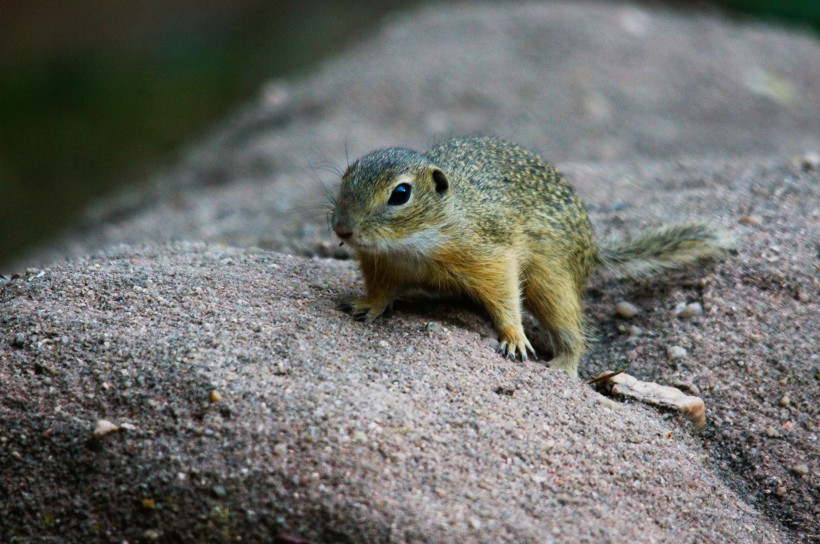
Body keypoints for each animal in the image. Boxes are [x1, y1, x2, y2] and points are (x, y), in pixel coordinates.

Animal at [330, 136, 728, 376]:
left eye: (400, 193)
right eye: (346, 176)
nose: (342, 229)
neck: (412, 245)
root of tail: (592, 250)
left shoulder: (491, 255)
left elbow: (505, 295)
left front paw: (514, 337)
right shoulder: (381, 265)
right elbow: (381, 292)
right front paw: (367, 304)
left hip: (551, 280)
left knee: (570, 327)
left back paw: (563, 365)